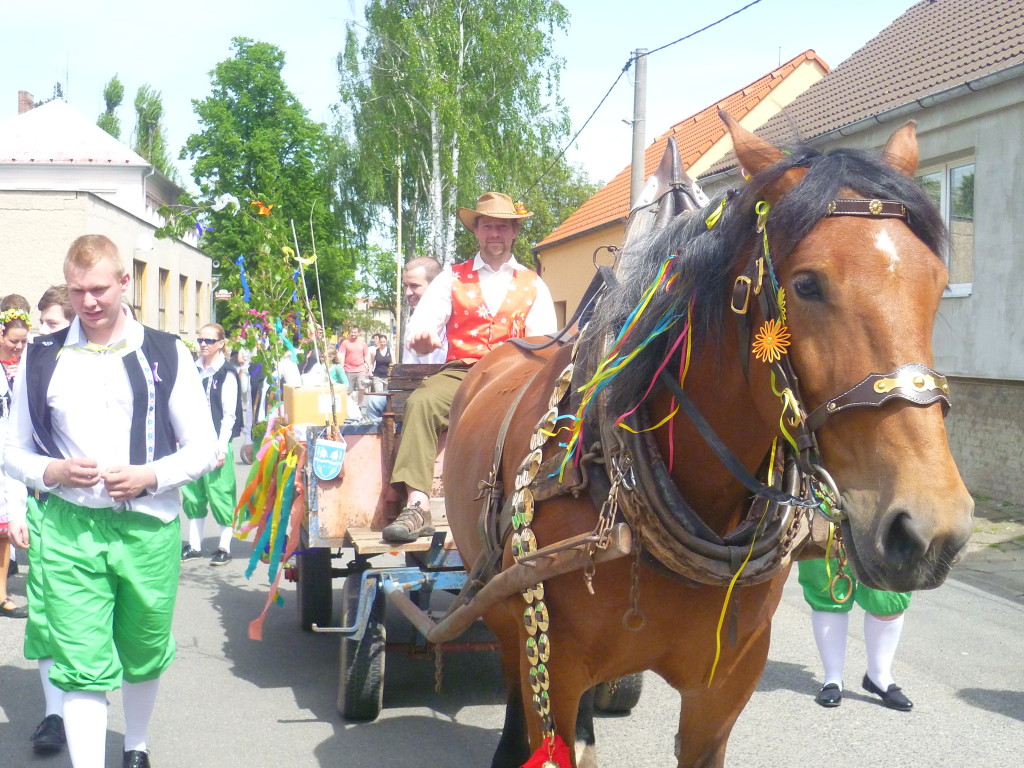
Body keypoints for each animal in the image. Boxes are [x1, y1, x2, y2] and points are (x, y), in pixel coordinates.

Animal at [444, 115, 970, 768]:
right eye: (806, 284)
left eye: (939, 282)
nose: (929, 529)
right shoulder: (556, 669)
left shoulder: (724, 691)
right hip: (497, 604)